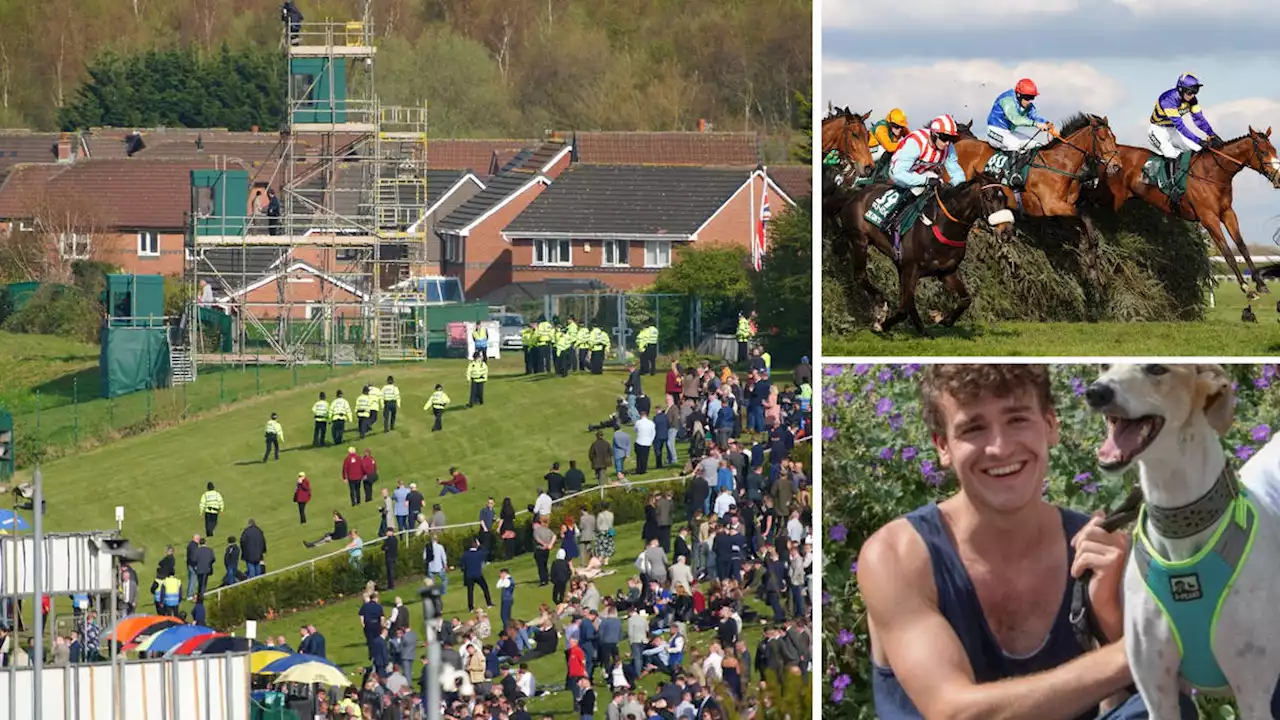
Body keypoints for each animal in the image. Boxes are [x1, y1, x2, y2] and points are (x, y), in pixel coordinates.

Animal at [834, 172, 1013, 333]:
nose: (1006, 232)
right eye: (988, 198)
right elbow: (903, 310)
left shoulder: (947, 271)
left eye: (1004, 199)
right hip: (859, 240)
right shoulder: (911, 269)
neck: (943, 227)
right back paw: (882, 308)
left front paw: (943, 319)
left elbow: (966, 300)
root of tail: (856, 193)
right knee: (861, 276)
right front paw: (881, 324)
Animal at [1090, 127, 1280, 295]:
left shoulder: (1227, 213)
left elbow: (1242, 247)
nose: (1278, 177)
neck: (1213, 173)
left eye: (1274, 150)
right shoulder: (1208, 218)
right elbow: (1227, 252)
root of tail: (1109, 154)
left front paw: (1261, 284)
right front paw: (1246, 288)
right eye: (1263, 152)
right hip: (1108, 197)